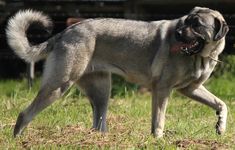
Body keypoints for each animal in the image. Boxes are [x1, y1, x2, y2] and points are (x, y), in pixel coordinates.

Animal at [6, 6, 229, 138]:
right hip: (59, 84)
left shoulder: (191, 89)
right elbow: (159, 119)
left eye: (196, 24)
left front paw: (221, 126)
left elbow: (221, 104)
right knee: (25, 114)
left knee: (98, 124)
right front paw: (158, 140)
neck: (200, 56)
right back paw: (18, 139)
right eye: (186, 21)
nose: (177, 33)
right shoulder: (162, 90)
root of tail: (66, 32)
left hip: (101, 91)